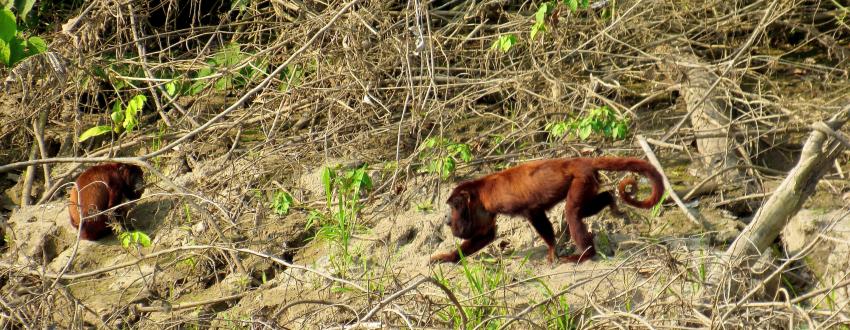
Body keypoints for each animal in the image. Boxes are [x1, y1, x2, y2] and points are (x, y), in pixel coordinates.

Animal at [430, 157, 664, 262]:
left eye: (452, 205)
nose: (446, 217)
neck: (478, 192)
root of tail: (579, 161)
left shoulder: (501, 202)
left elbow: (534, 213)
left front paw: (552, 249)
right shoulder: (482, 210)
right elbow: (487, 235)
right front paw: (449, 257)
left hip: (581, 180)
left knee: (572, 213)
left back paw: (585, 254)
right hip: (589, 181)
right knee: (584, 208)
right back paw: (610, 201)